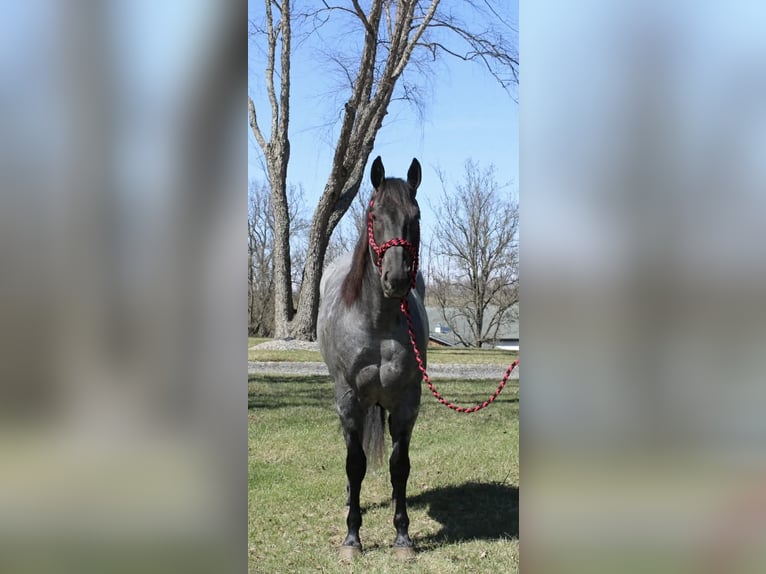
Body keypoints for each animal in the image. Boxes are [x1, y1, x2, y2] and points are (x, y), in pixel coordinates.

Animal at [317, 156, 428, 559]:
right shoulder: (350, 400)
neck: (377, 323)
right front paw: (352, 538)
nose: (395, 279)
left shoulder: (407, 402)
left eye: (415, 216)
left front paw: (402, 538)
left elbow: (400, 465)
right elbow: (355, 463)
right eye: (375, 214)